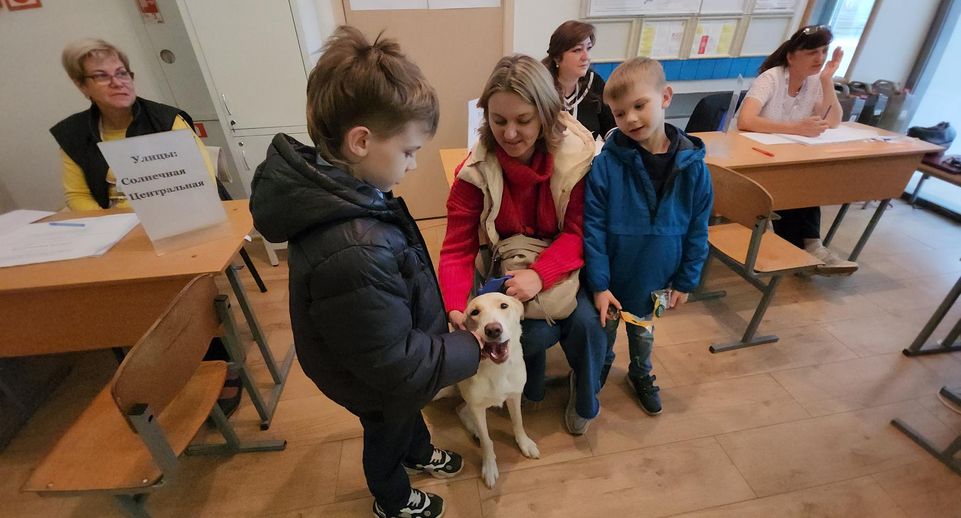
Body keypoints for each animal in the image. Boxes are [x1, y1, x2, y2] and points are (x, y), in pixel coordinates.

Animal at [458, 292, 540, 488]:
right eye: (475, 312)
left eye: (504, 306)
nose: (493, 330)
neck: (497, 369)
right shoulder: (477, 407)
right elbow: (487, 441)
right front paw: (489, 466)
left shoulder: (515, 395)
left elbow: (518, 422)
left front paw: (524, 443)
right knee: (461, 410)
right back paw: (475, 430)